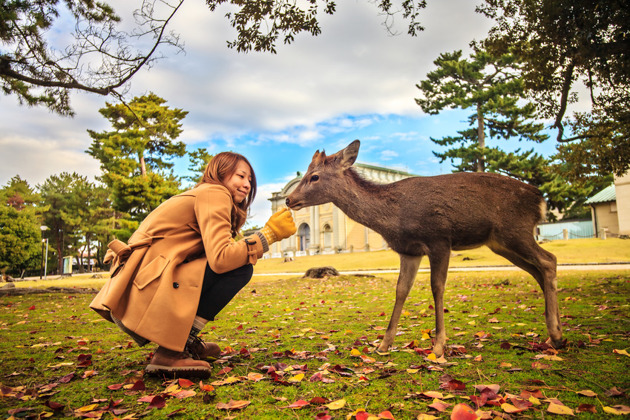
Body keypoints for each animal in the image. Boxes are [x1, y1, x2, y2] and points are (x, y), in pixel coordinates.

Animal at [284, 140, 564, 354]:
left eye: (315, 176)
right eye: (306, 173)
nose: (288, 199)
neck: (393, 217)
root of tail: (540, 199)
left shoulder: (439, 239)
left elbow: (436, 287)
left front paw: (439, 345)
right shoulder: (409, 250)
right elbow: (401, 290)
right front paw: (383, 344)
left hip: (516, 230)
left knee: (549, 260)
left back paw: (555, 332)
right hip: (501, 243)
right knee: (538, 270)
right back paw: (555, 333)